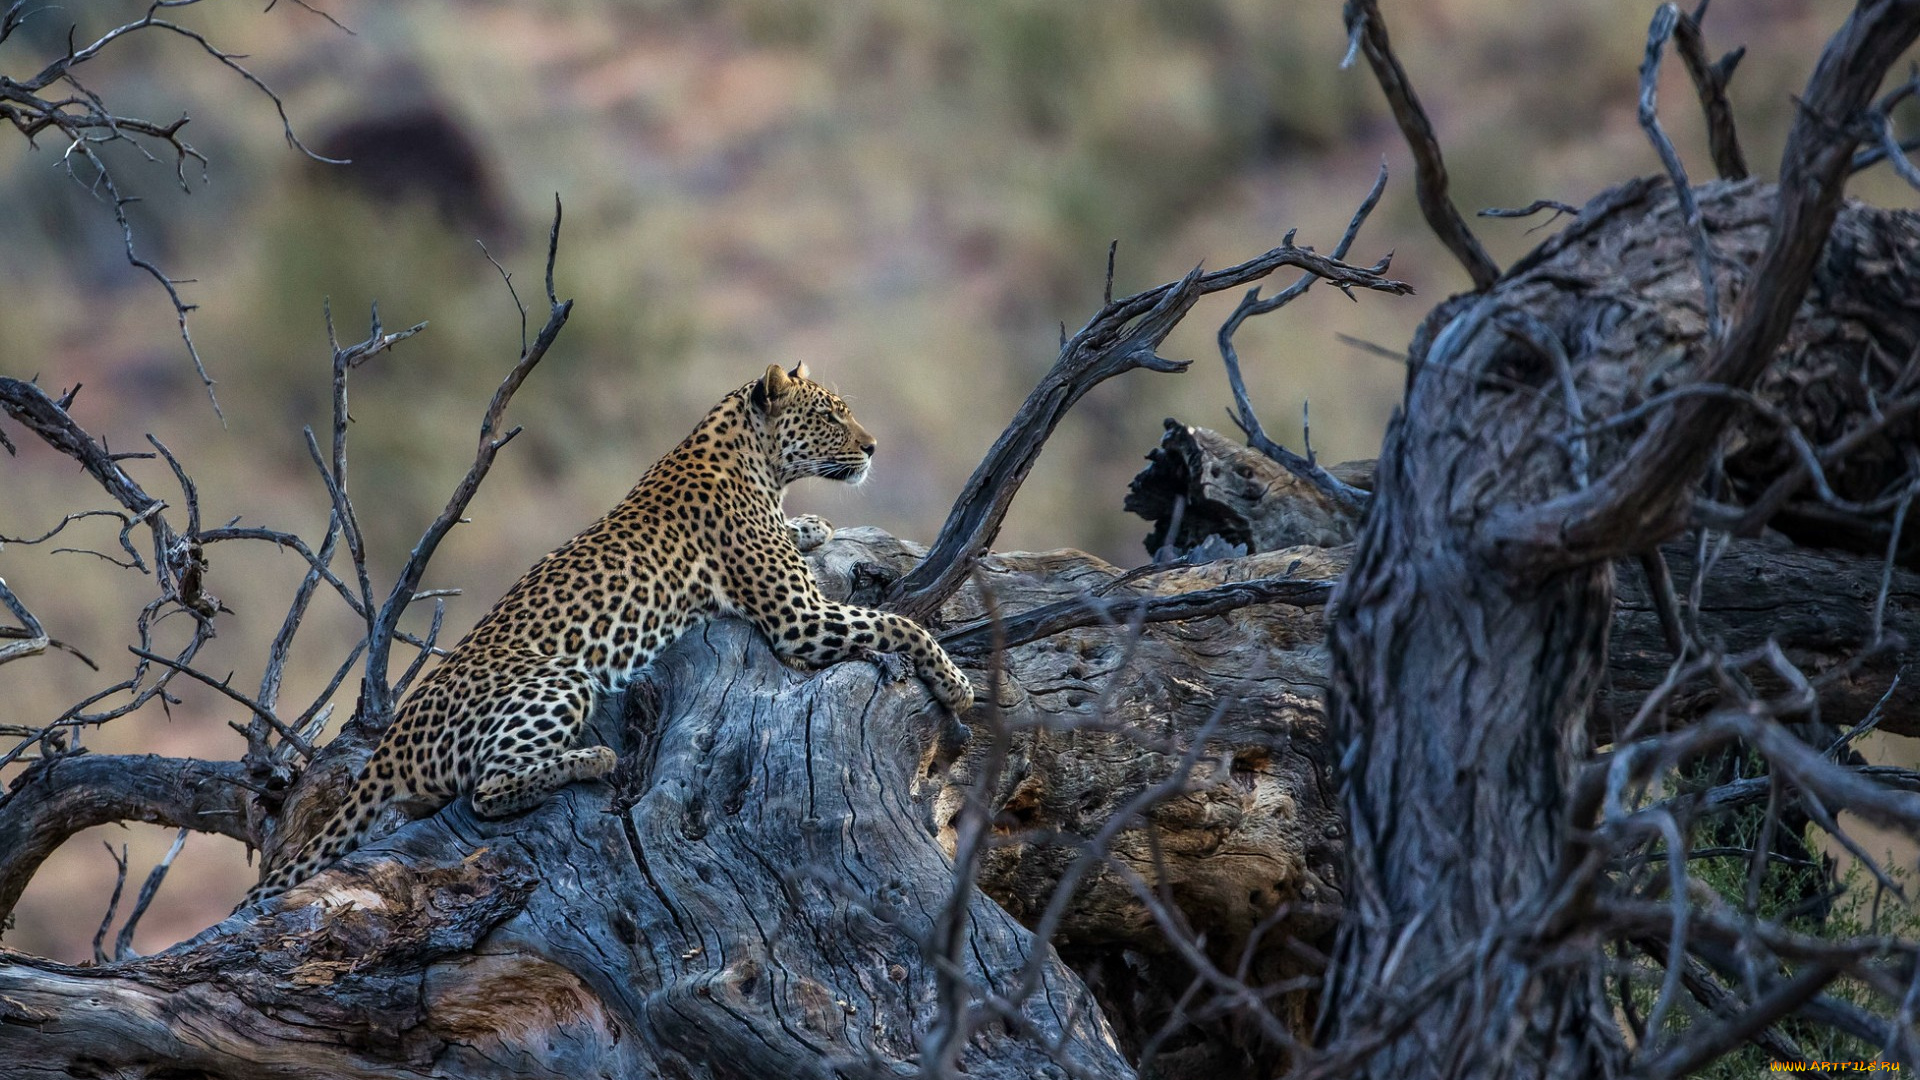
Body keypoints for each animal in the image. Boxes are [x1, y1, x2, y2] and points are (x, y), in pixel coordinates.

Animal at [251, 361, 975, 899]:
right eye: (829, 416)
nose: (872, 447)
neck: (755, 462)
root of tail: (389, 748)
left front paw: (813, 527)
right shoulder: (799, 619)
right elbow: (896, 622)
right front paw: (957, 682)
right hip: (559, 680)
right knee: (486, 790)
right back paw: (593, 758)